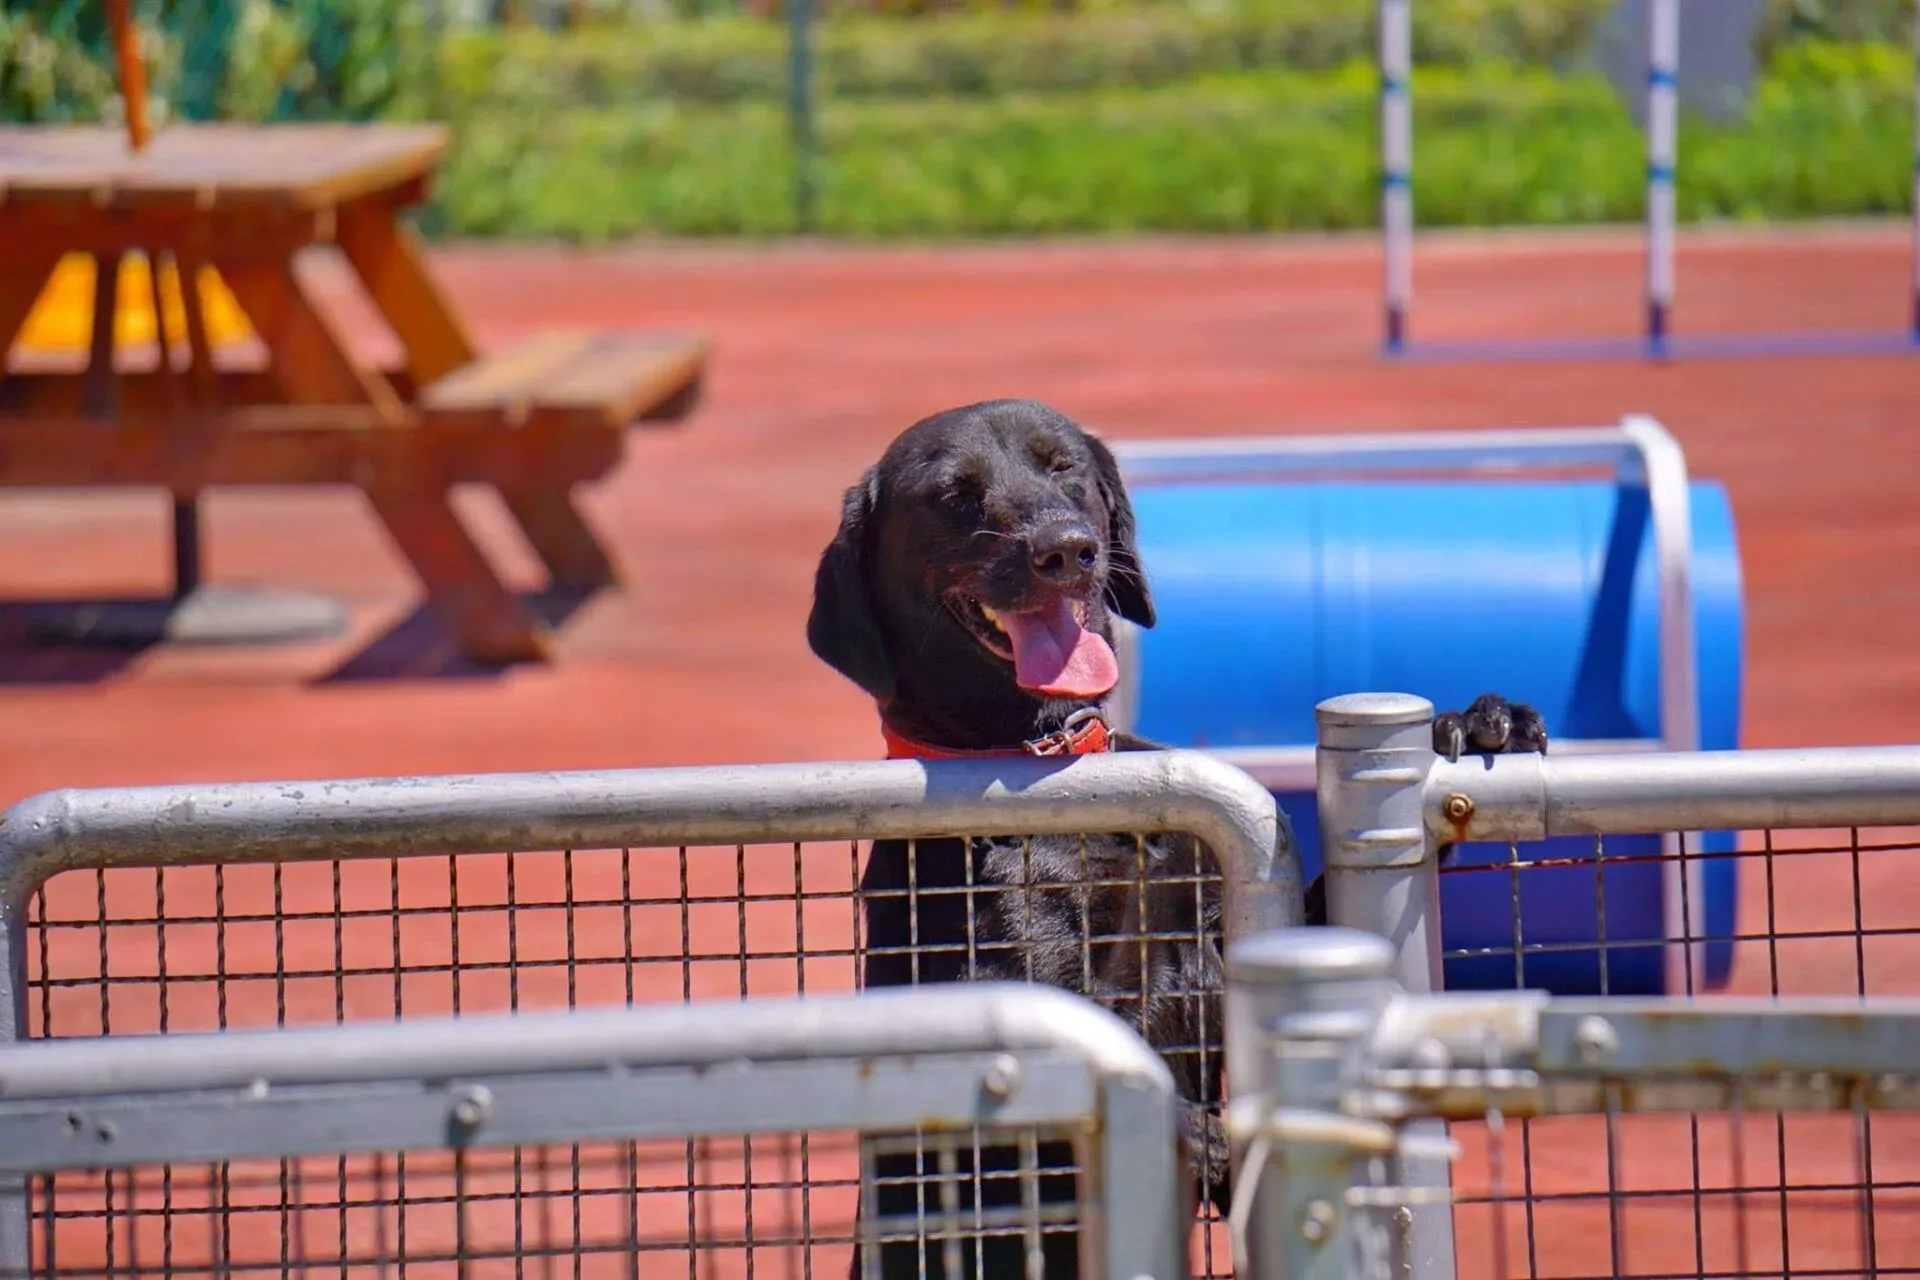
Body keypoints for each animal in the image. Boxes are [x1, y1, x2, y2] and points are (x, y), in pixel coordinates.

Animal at [806, 395, 1543, 1274]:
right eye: (954, 494)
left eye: (1062, 467)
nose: (1065, 548)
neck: (1052, 763)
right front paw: (1207, 1136)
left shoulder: (1227, 932)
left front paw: (1479, 725)